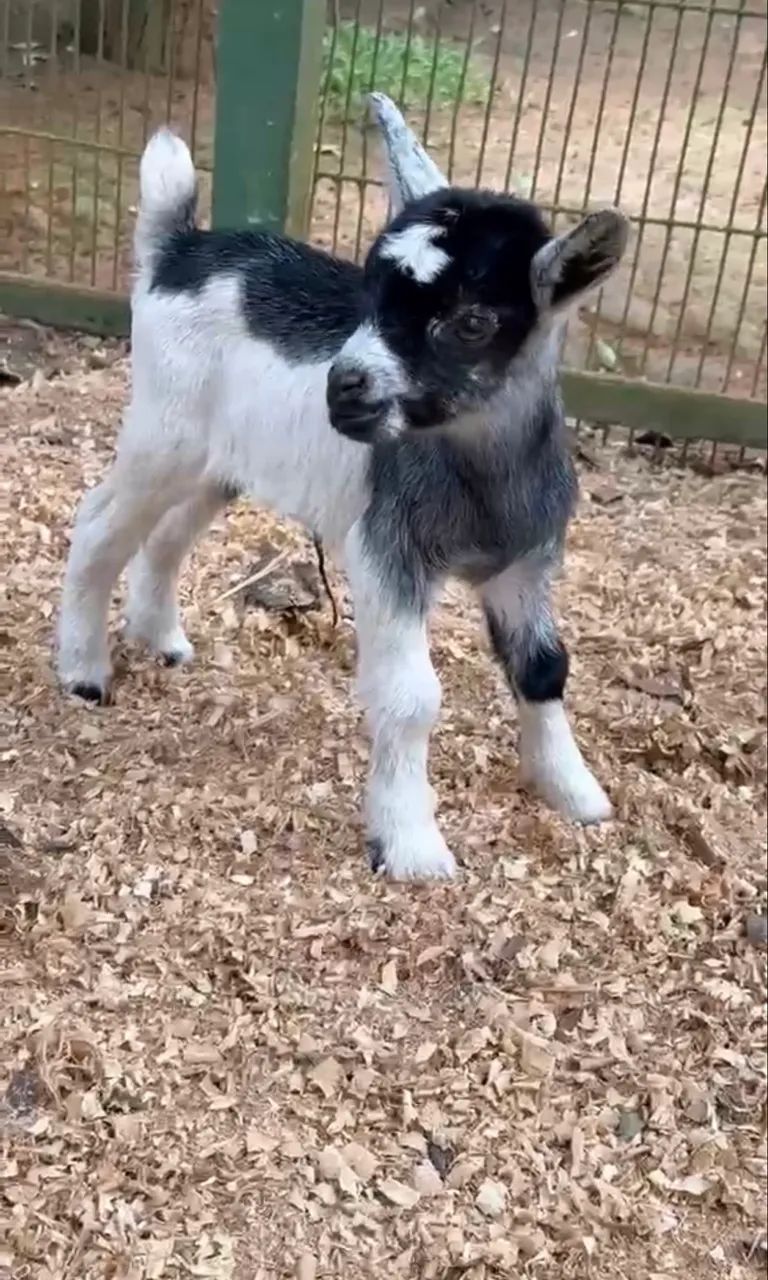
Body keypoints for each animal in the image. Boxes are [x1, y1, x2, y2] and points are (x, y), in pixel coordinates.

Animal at [56, 93, 629, 881]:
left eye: (473, 320)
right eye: (371, 290)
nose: (342, 387)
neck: (481, 481)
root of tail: (179, 249)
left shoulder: (526, 562)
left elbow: (543, 668)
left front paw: (575, 792)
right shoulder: (387, 553)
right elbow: (412, 697)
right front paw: (411, 845)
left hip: (223, 462)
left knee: (167, 538)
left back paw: (161, 637)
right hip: (162, 430)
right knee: (100, 522)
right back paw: (83, 672)